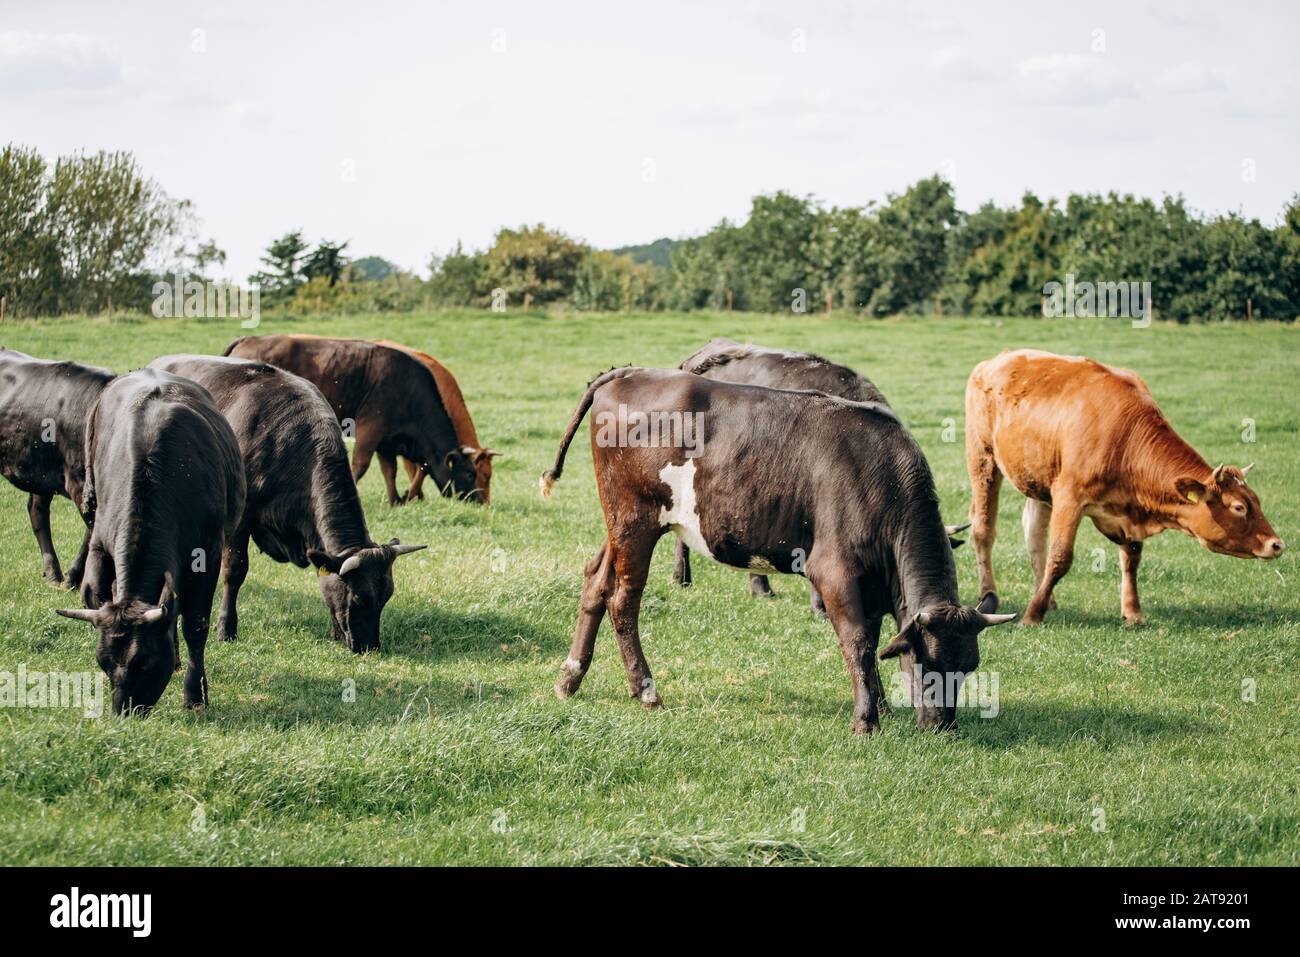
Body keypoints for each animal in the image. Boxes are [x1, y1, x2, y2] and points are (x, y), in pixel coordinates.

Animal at [55, 369, 245, 715]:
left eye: (144, 662)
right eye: (103, 663)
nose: (124, 711)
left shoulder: (208, 556)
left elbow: (195, 624)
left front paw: (196, 695)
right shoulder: (100, 546)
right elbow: (95, 595)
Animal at [149, 355, 427, 652]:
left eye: (386, 597)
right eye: (358, 598)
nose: (369, 646)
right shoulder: (240, 522)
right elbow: (235, 571)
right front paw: (226, 628)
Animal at [223, 335, 478, 505]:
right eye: (470, 474)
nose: (477, 500)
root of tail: (249, 339)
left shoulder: (387, 441)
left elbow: (390, 470)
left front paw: (395, 500)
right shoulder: (371, 426)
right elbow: (360, 464)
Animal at [539, 367, 1014, 733]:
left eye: (969, 667)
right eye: (924, 661)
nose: (942, 726)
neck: (883, 482)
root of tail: (629, 373)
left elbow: (875, 638)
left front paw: (879, 703)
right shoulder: (834, 574)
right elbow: (858, 643)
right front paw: (866, 720)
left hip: (622, 524)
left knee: (595, 582)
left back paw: (570, 677)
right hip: (636, 520)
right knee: (623, 600)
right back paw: (645, 690)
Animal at [966, 349, 1285, 626]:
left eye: (1256, 500)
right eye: (1238, 507)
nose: (1277, 544)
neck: (1124, 438)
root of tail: (995, 360)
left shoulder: (1127, 511)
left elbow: (1131, 559)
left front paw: (1133, 612)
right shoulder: (1069, 497)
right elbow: (1060, 558)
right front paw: (1032, 616)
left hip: (1038, 477)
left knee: (1033, 533)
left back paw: (1048, 598)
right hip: (983, 459)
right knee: (983, 530)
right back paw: (990, 594)